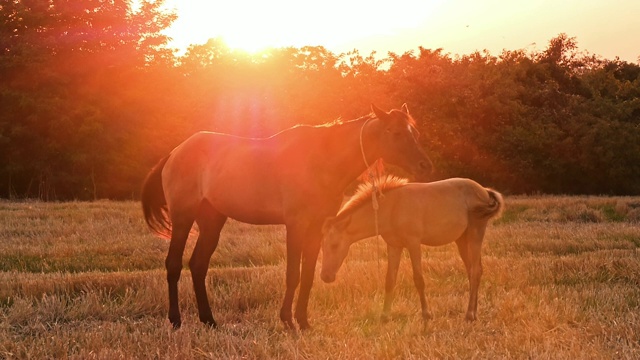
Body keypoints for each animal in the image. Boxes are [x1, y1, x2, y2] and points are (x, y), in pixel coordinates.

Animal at [139, 103, 430, 330]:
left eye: (415, 132)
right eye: (395, 132)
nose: (425, 165)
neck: (321, 160)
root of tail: (175, 152)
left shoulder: (316, 228)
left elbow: (309, 274)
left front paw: (303, 321)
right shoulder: (296, 225)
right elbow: (293, 274)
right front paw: (288, 321)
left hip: (212, 222)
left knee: (198, 265)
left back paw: (209, 320)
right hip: (183, 218)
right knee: (173, 264)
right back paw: (176, 320)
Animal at [322, 176, 502, 320]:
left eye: (334, 245)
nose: (325, 276)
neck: (392, 208)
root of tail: (484, 191)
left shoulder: (413, 244)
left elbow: (419, 279)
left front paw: (426, 314)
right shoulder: (394, 246)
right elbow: (390, 279)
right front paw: (385, 315)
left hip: (475, 235)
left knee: (475, 271)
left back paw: (470, 314)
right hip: (462, 240)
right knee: (473, 271)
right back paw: (474, 311)